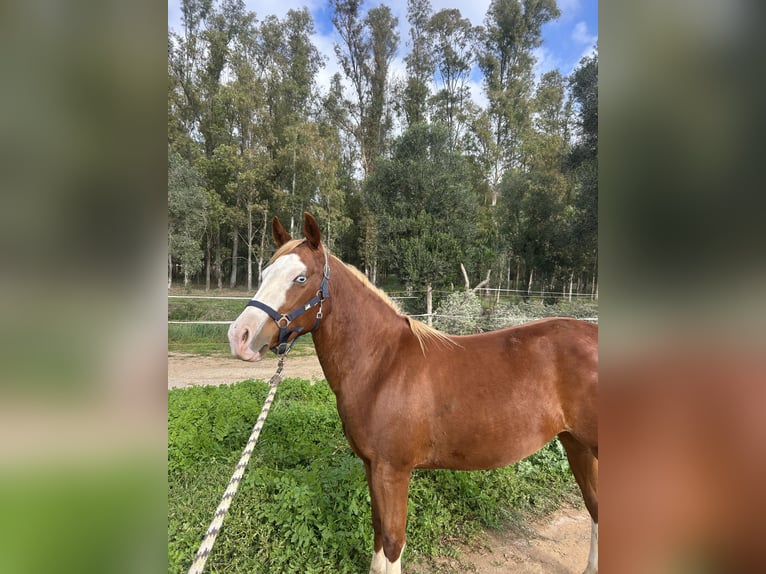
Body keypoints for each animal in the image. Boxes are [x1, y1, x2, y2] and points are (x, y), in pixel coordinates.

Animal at [228, 213, 598, 574]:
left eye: (301, 278)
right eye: (264, 273)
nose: (240, 336)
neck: (383, 364)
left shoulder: (393, 470)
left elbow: (393, 542)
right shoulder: (372, 467)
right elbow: (378, 535)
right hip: (576, 444)